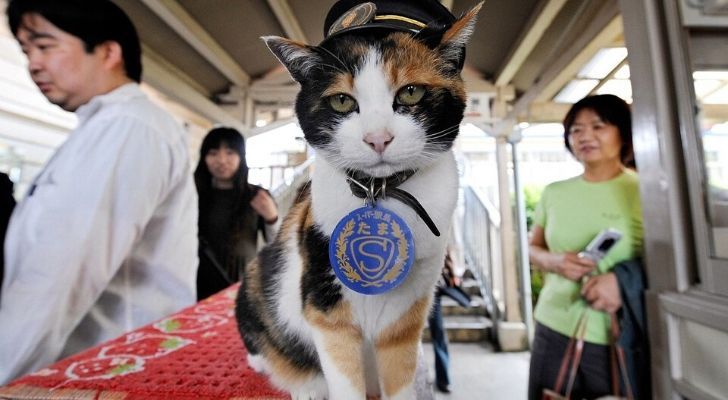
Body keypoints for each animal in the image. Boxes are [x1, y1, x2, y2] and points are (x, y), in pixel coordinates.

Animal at [236, 1, 480, 398]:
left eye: (410, 93)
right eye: (341, 101)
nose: (377, 138)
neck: (382, 192)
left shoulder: (408, 312)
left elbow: (401, 374)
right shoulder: (326, 306)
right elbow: (343, 376)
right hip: (256, 279)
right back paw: (298, 381)